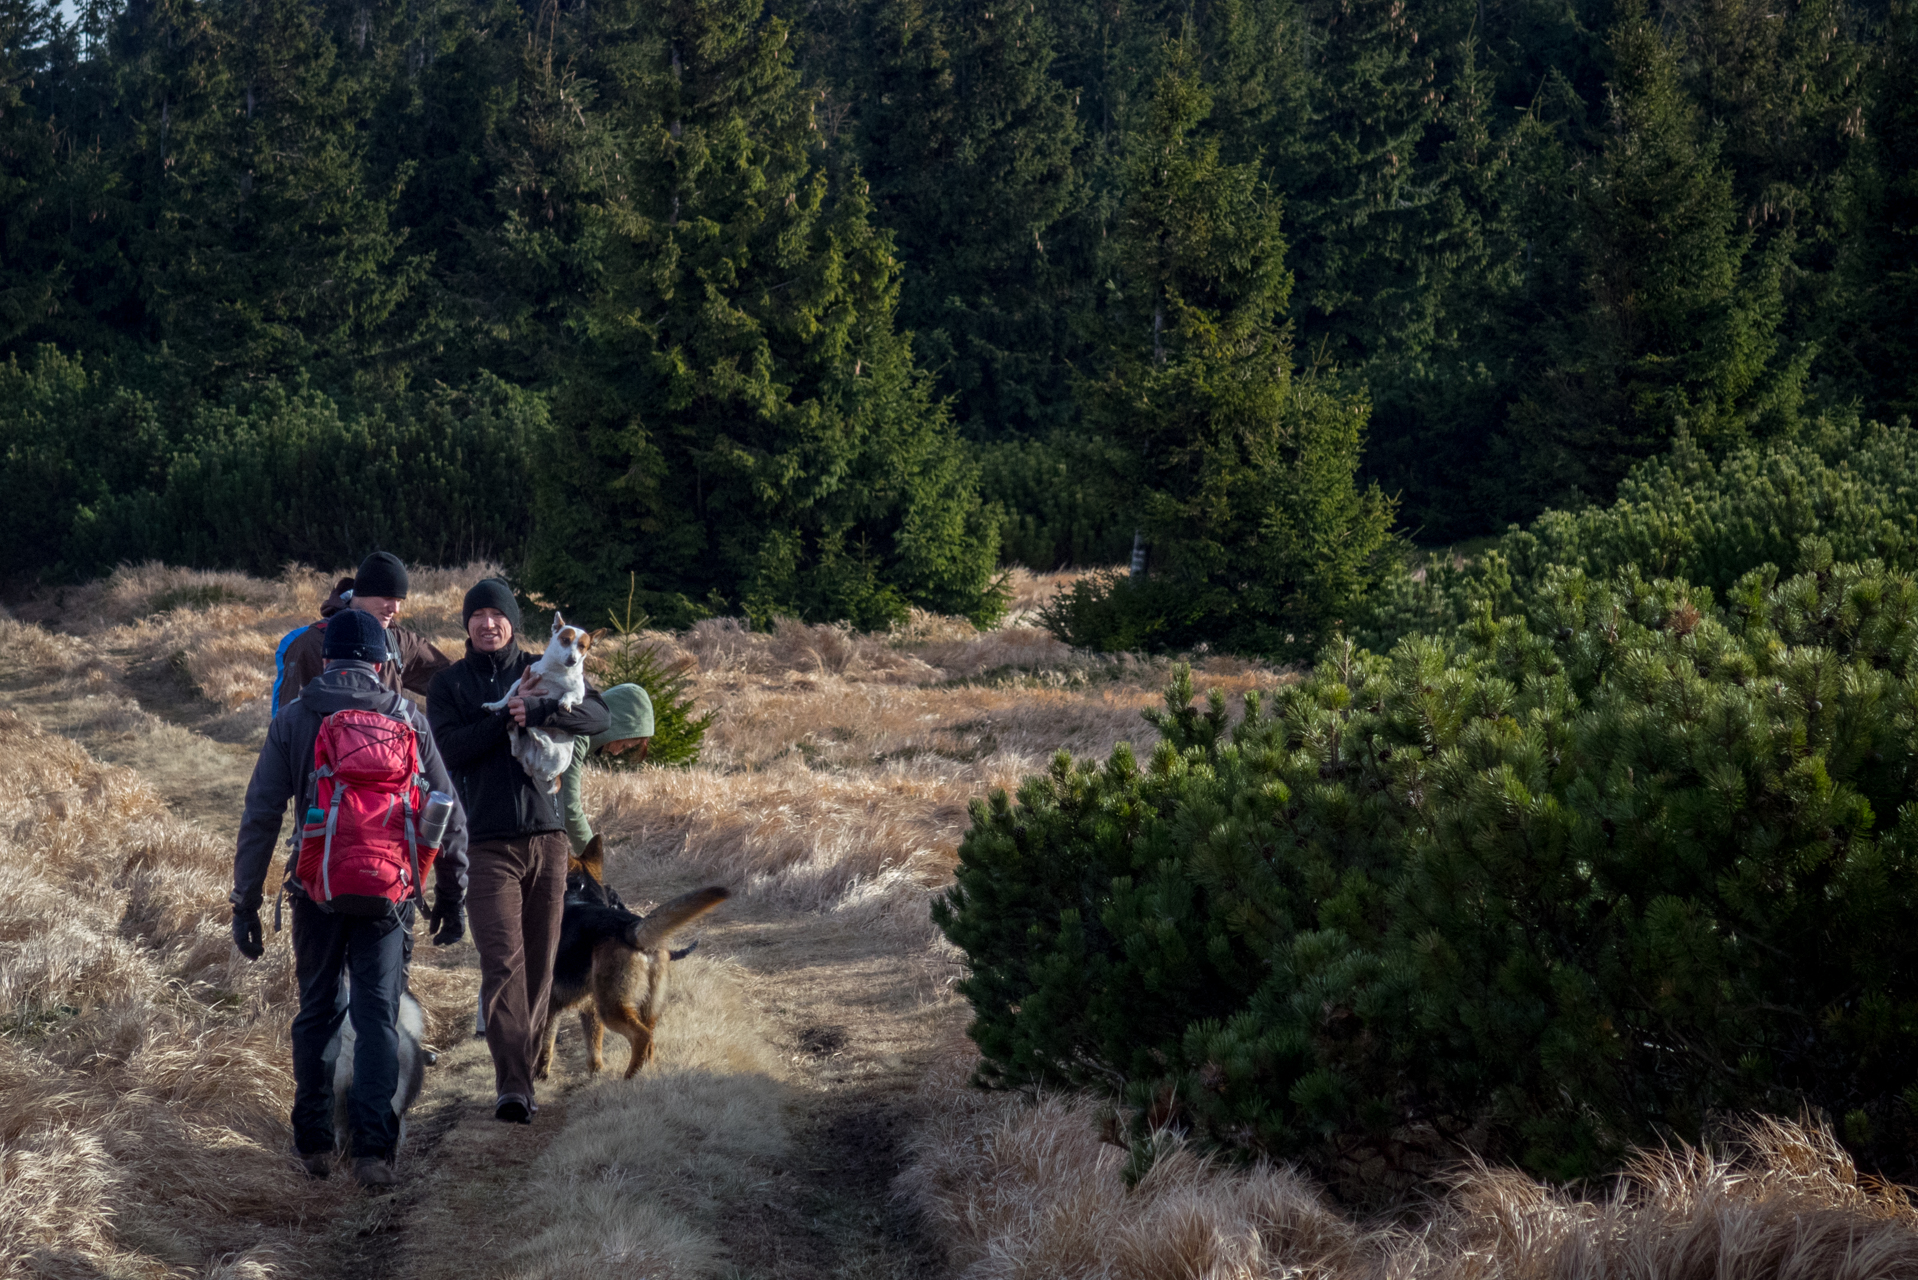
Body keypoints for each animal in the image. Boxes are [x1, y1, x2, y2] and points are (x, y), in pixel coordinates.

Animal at [479, 614, 598, 794]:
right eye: (565, 640)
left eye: (582, 647)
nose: (573, 659)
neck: (556, 672)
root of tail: (533, 767)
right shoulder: (520, 682)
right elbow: (507, 696)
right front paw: (495, 705)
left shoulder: (578, 694)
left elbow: (569, 694)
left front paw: (564, 702)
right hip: (524, 750)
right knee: (517, 748)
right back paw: (515, 726)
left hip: (556, 753)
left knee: (541, 738)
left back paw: (531, 725)